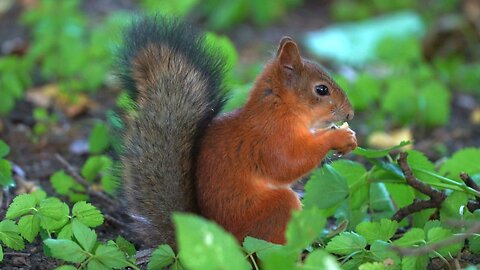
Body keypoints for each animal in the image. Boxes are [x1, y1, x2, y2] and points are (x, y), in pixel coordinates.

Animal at [118, 16, 354, 248]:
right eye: (321, 90)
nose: (350, 114)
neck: (280, 108)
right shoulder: (269, 140)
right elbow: (287, 164)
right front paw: (338, 137)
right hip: (274, 212)